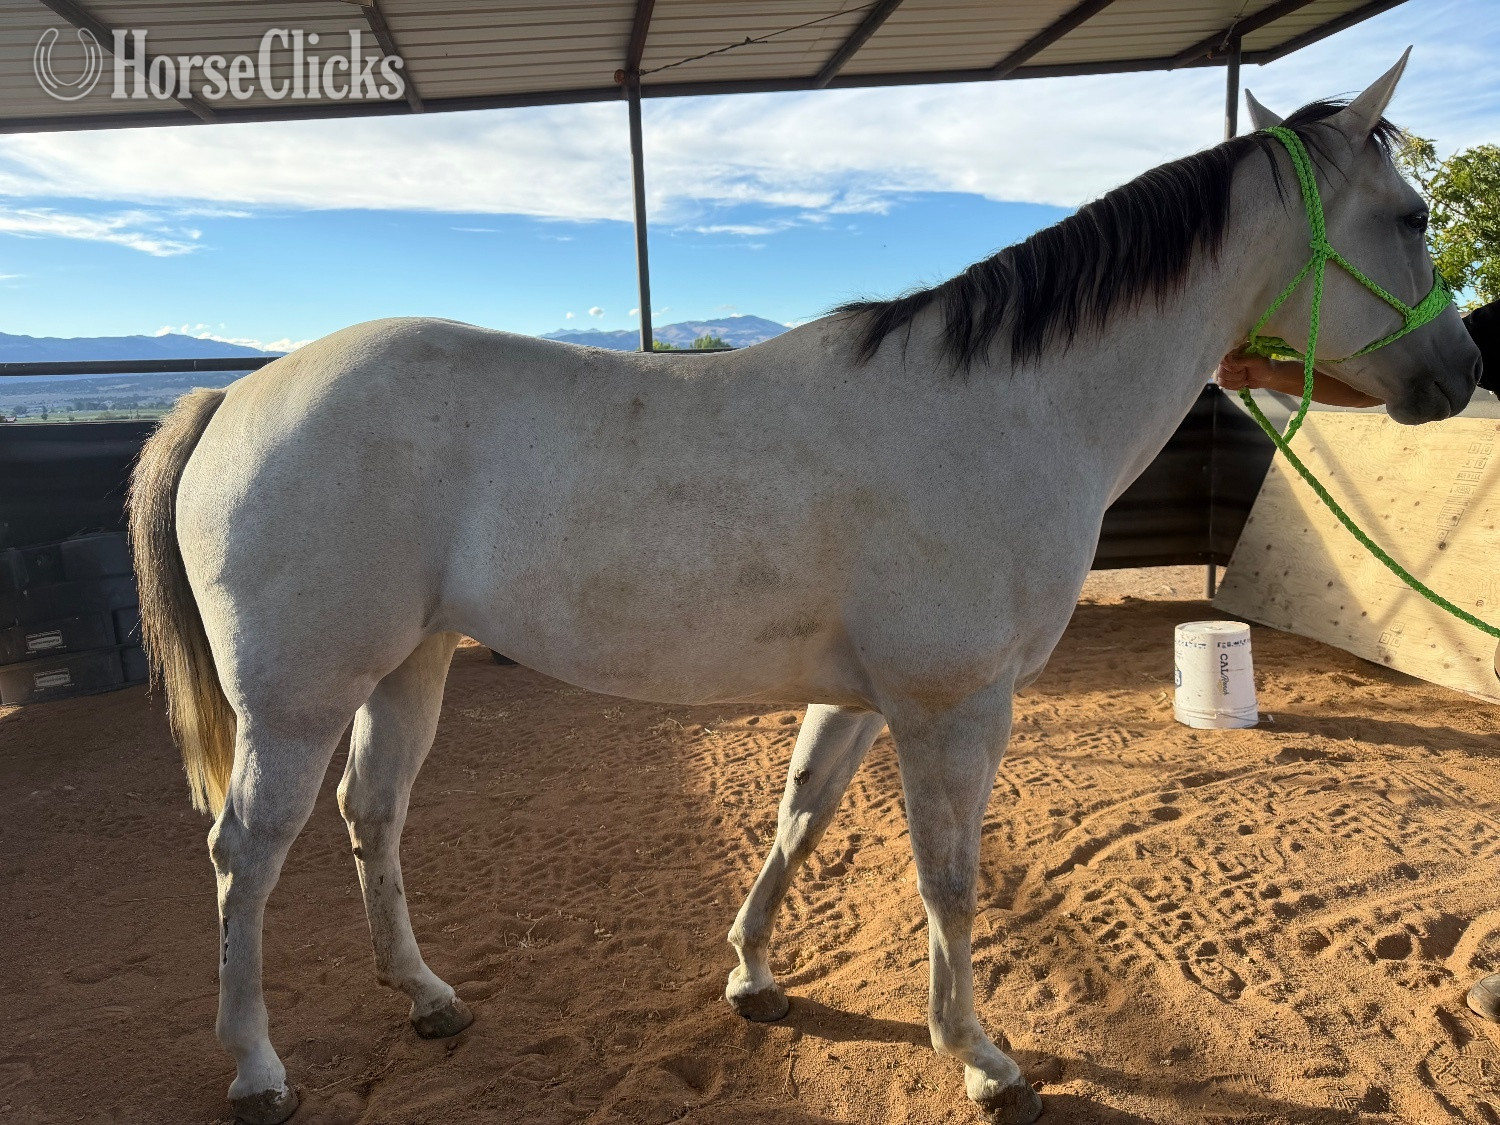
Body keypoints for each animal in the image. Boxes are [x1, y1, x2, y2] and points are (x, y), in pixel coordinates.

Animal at [129, 55, 1480, 1124]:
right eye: (1410, 217)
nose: (1462, 374)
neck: (1007, 408)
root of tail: (233, 396)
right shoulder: (953, 705)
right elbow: (952, 877)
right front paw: (980, 1057)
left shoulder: (866, 698)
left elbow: (799, 817)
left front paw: (752, 976)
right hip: (298, 701)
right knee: (246, 851)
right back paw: (257, 1068)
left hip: (407, 668)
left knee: (374, 816)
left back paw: (425, 998)